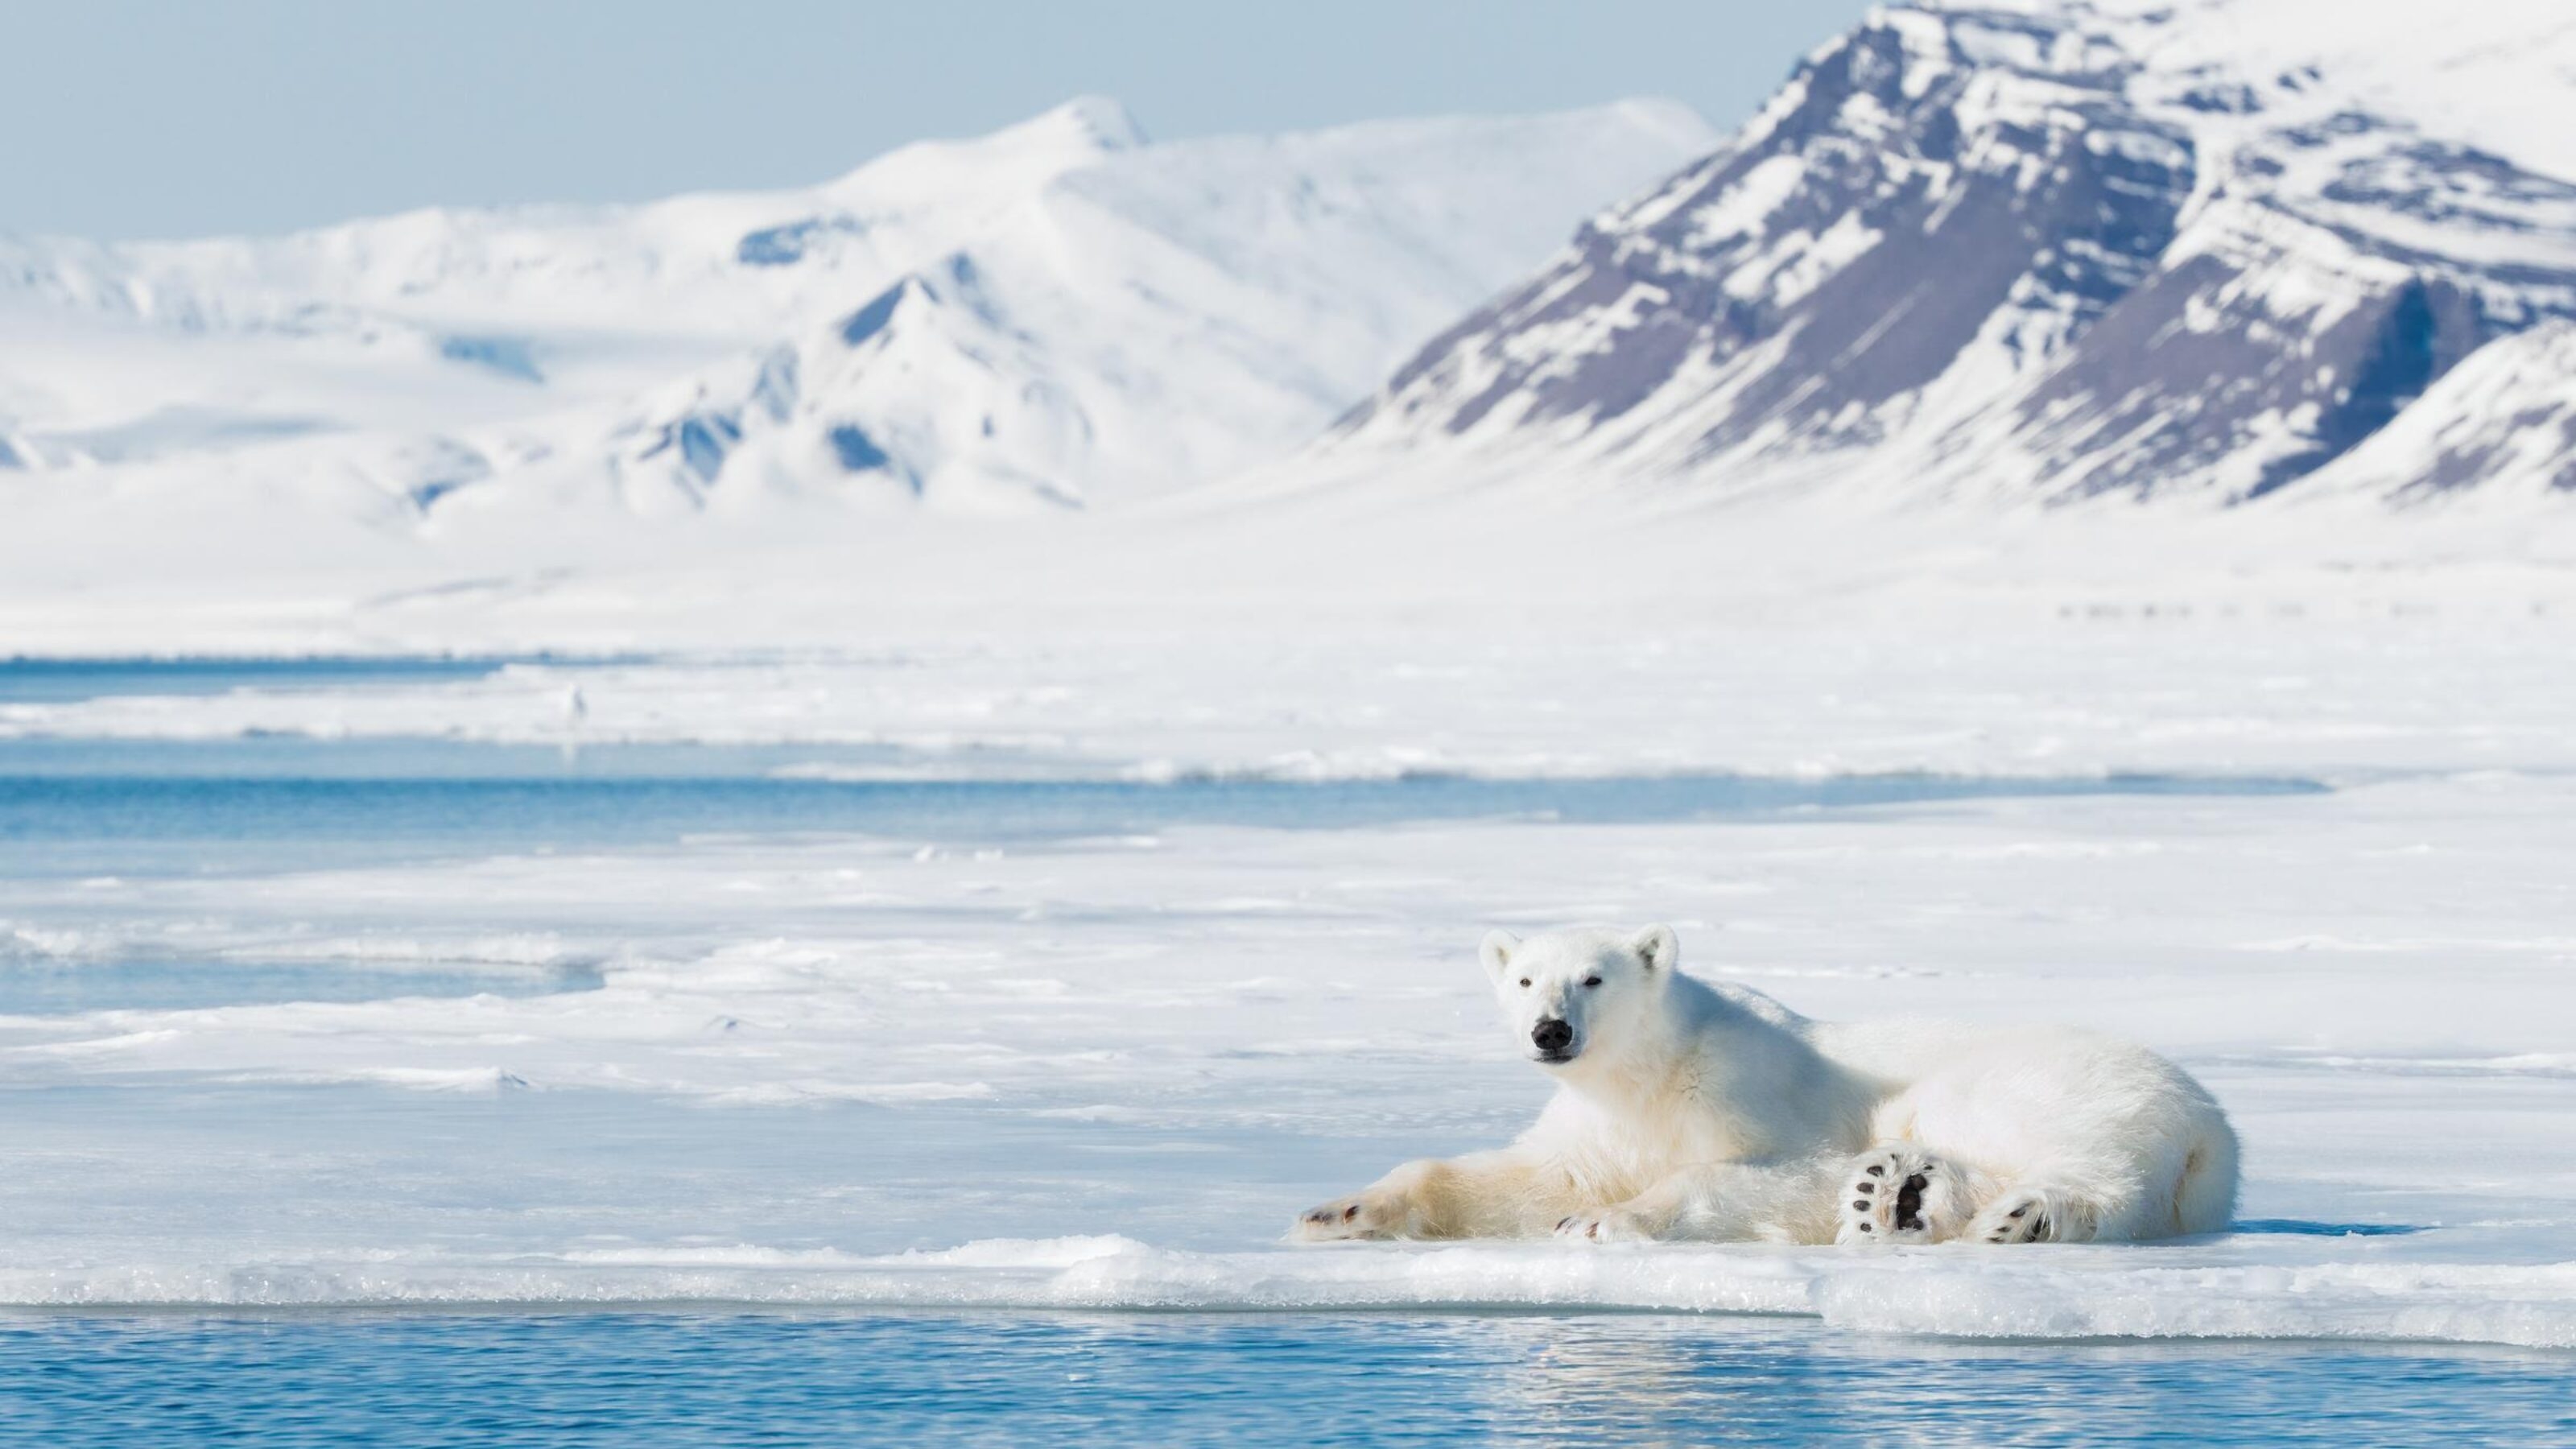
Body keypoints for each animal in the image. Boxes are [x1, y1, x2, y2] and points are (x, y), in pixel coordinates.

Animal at [1292, 924, 2237, 1246]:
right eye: (1525, 979)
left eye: (1593, 978)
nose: (1550, 1031)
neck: (1652, 1074)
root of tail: (2212, 1127)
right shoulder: (1599, 1125)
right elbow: (1524, 1179)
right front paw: (1339, 1209)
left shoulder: (1742, 1090)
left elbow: (1775, 1173)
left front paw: (1605, 1221)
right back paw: (1892, 1196)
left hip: (2049, 1079)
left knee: (2077, 1158)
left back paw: (2016, 1215)